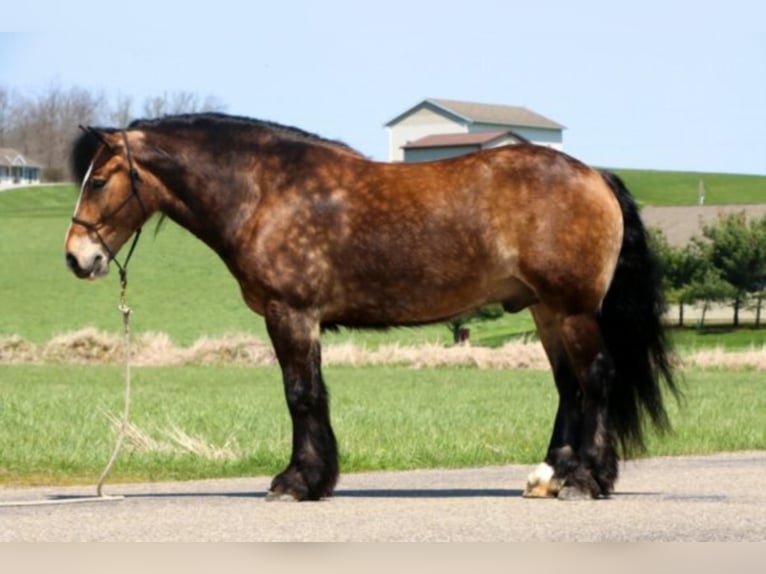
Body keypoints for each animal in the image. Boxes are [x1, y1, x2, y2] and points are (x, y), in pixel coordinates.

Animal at [66, 113, 680, 504]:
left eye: (99, 180)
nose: (77, 257)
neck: (267, 192)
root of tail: (594, 175)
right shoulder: (300, 319)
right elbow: (311, 394)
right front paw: (314, 479)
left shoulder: (290, 314)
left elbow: (300, 394)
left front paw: (297, 482)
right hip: (546, 311)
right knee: (569, 386)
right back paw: (551, 475)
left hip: (571, 309)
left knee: (595, 379)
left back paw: (585, 480)